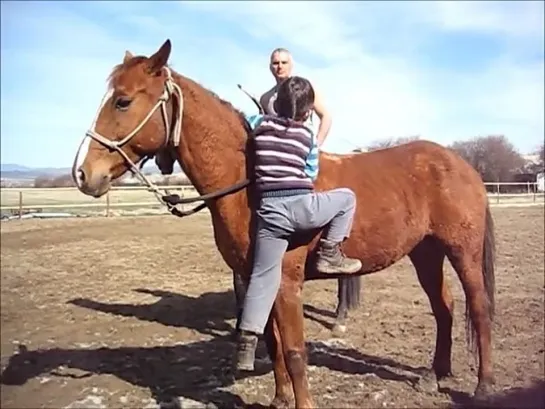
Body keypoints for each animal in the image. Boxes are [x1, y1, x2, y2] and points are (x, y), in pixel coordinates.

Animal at [72, 39, 498, 408]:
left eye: (123, 101)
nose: (83, 173)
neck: (252, 179)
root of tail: (462, 165)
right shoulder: (255, 277)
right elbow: (273, 344)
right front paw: (278, 399)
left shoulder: (286, 281)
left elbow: (294, 350)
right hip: (425, 252)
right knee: (443, 307)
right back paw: (435, 375)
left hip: (462, 251)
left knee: (478, 309)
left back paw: (483, 386)